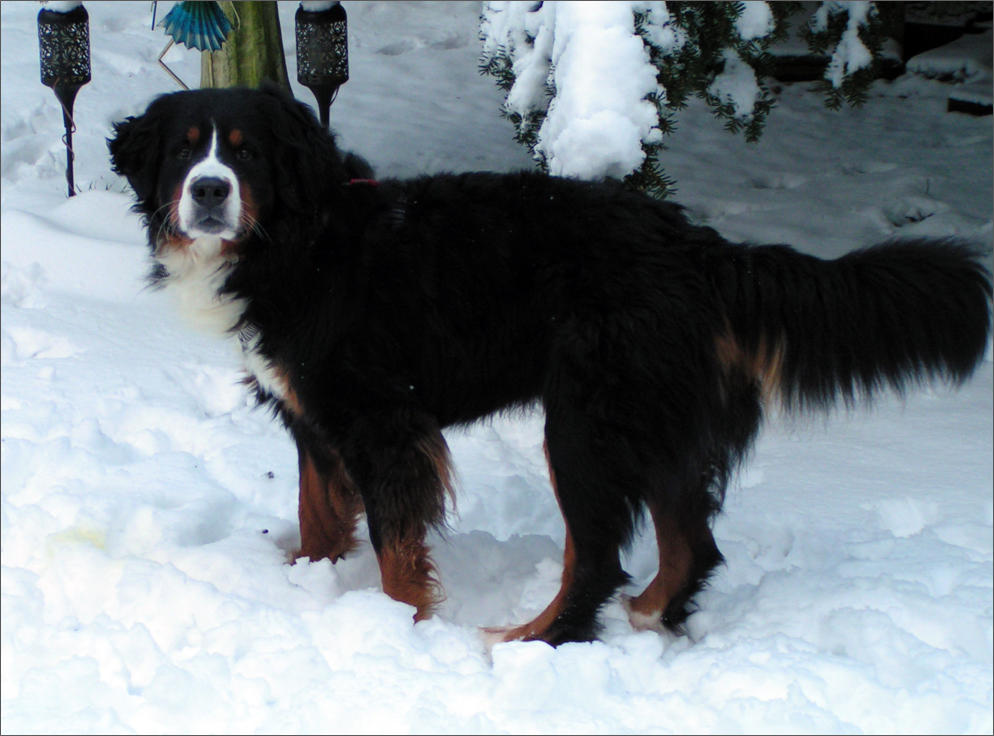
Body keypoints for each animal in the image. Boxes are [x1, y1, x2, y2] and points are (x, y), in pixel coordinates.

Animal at [108, 85, 992, 646]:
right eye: (183, 152)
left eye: (247, 154)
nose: (209, 192)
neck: (298, 240)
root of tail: (696, 246)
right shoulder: (311, 412)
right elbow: (322, 512)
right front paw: (306, 584)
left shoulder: (381, 420)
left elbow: (395, 545)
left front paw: (400, 629)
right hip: (655, 421)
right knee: (690, 547)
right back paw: (646, 619)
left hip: (587, 423)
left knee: (598, 558)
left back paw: (534, 638)